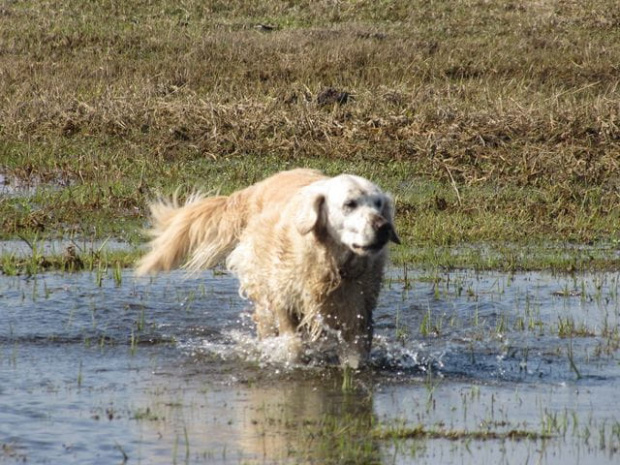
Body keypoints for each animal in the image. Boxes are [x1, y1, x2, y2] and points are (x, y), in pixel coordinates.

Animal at [136, 168, 400, 366]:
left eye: (378, 204)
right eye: (350, 204)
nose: (383, 227)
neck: (330, 264)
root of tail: (257, 187)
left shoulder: (359, 312)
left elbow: (355, 356)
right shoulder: (283, 299)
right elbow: (294, 345)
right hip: (262, 292)